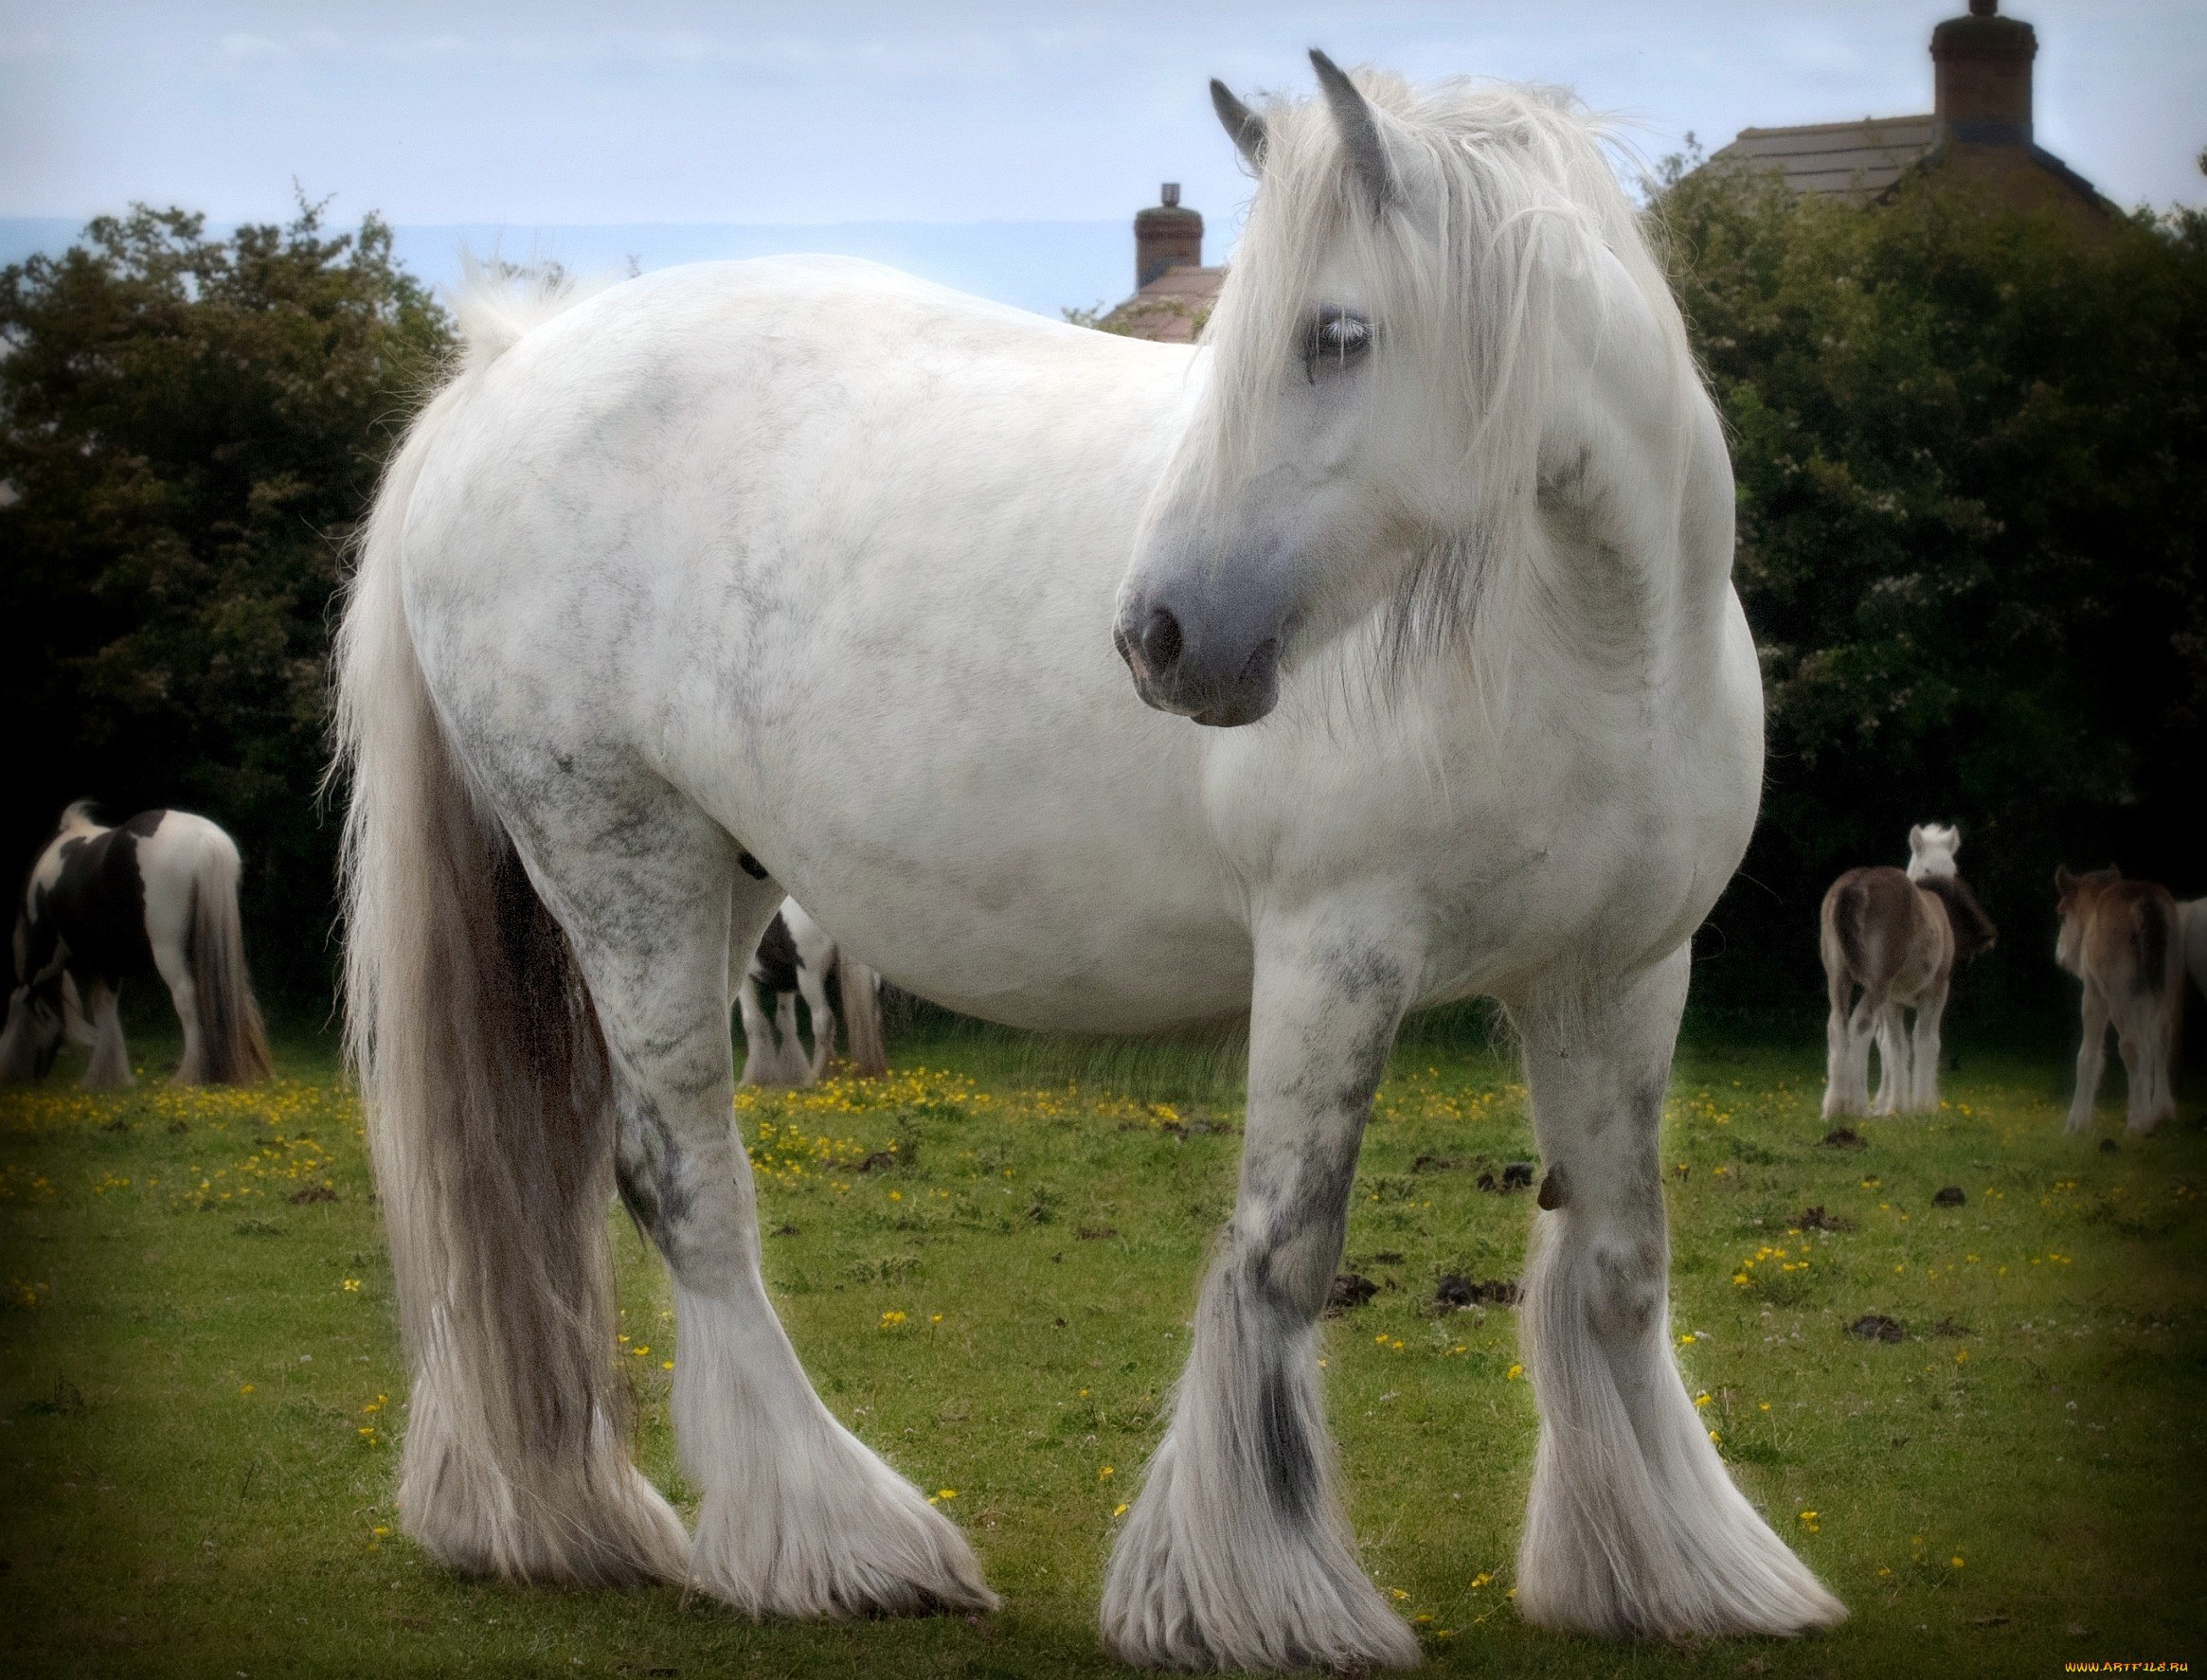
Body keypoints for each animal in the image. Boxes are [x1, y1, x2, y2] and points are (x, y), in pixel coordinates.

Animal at [0, 798, 273, 1085]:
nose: (29, 1076)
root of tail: (205, 840)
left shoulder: (44, 958)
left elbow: (18, 999)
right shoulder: (109, 963)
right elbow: (105, 1010)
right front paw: (105, 1078)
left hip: (166, 949)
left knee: (186, 997)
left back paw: (186, 1076)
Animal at [331, 52, 1844, 1669]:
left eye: (1335, 334)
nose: (1158, 637)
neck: (1595, 636)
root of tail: (506, 371)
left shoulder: (1614, 977)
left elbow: (1618, 1262)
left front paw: (1674, 1572)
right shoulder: (1335, 956)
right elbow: (1281, 1254)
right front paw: (1254, 1592)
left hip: (701, 886)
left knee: (564, 1180)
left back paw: (563, 1518)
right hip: (626, 873)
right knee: (680, 1186)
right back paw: (832, 1540)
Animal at [1818, 821, 1995, 1112]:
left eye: (1953, 870)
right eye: (1927, 869)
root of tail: (1854, 886)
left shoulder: (1893, 1000)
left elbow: (1896, 1047)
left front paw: (1896, 1106)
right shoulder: (1937, 989)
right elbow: (1927, 1041)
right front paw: (1924, 1105)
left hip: (1838, 975)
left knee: (1837, 1024)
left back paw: (1835, 1106)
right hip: (1877, 981)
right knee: (1860, 1025)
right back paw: (1858, 1106)